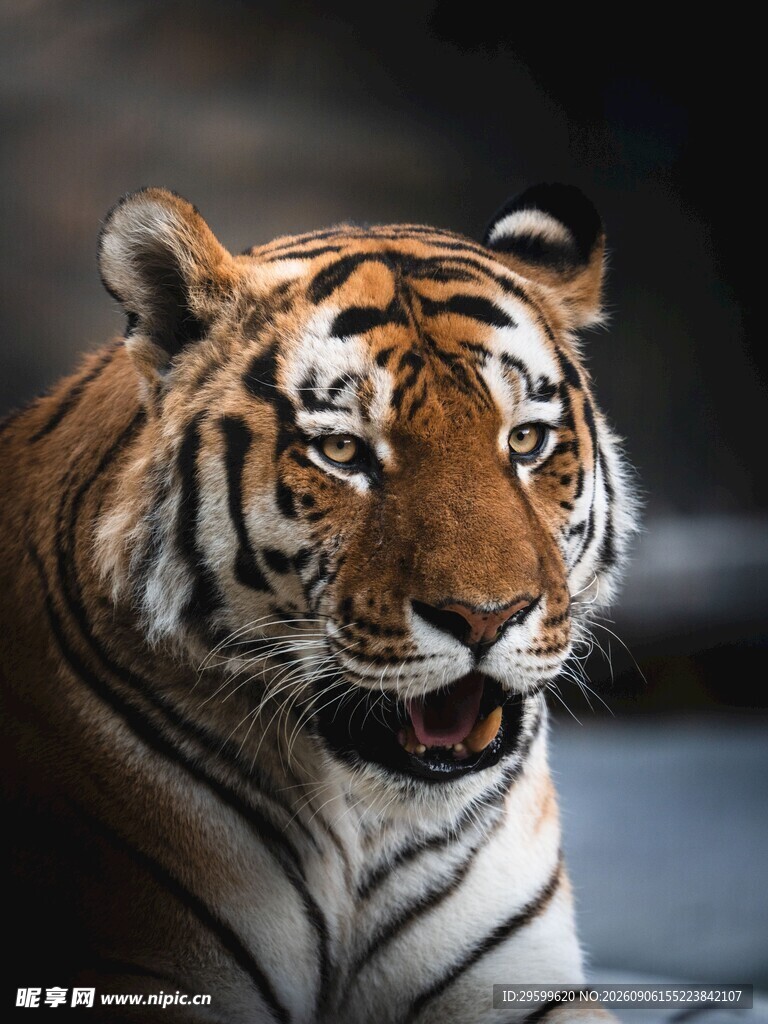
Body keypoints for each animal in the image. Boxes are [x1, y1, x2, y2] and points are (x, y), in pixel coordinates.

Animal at [0, 183, 636, 1023]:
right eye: (342, 451)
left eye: (526, 440)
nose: (487, 617)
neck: (369, 831)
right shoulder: (140, 972)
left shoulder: (519, 983)